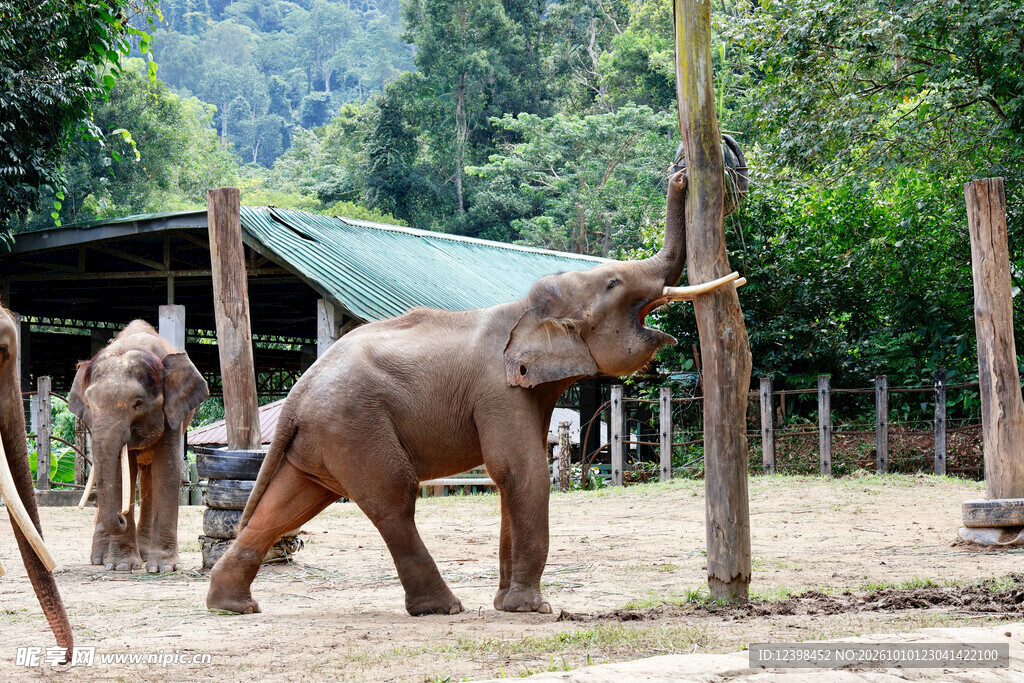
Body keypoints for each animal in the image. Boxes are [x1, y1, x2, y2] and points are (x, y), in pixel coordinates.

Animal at [69, 320, 208, 573]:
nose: (122, 517)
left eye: (138, 403)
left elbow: (167, 470)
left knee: (148, 478)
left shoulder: (173, 411)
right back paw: (101, 559)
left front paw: (165, 568)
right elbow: (118, 473)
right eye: (89, 405)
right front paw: (121, 566)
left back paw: (143, 554)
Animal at [206, 159, 745, 617]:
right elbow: (519, 470)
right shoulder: (497, 390)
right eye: (614, 284)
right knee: (393, 498)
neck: (525, 308)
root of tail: (299, 390)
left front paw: (510, 604)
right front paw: (532, 610)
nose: (681, 173)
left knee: (292, 502)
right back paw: (442, 608)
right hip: (354, 424)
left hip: (322, 437)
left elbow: (513, 475)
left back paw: (233, 606)